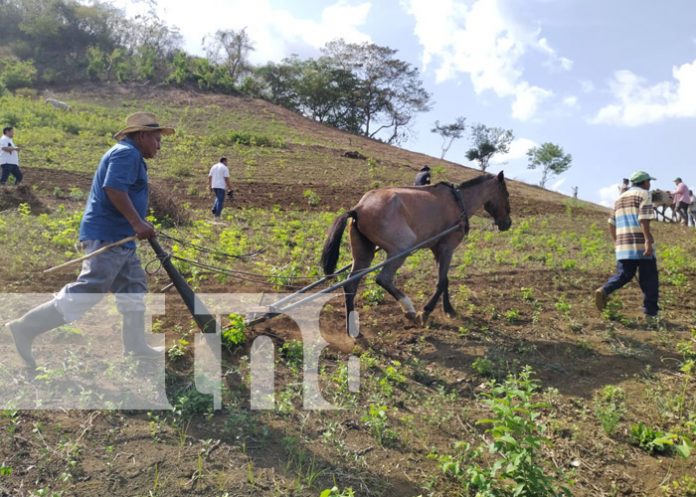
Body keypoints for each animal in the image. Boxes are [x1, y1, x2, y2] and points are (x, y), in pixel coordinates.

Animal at [320, 170, 512, 334]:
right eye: (506, 194)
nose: (507, 223)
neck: (459, 202)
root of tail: (358, 208)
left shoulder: (437, 250)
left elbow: (445, 280)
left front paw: (449, 310)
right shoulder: (447, 247)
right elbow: (441, 282)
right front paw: (425, 312)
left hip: (364, 253)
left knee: (350, 284)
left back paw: (352, 328)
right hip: (402, 248)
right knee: (383, 279)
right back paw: (410, 311)